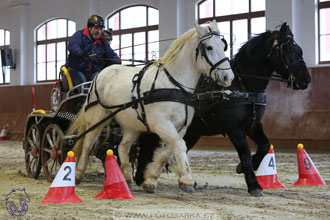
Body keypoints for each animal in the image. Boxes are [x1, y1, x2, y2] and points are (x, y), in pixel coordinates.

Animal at [69, 20, 235, 192]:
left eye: (223, 46)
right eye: (209, 47)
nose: (228, 77)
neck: (173, 84)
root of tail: (102, 73)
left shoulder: (180, 127)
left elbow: (167, 151)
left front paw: (151, 180)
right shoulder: (160, 123)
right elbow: (179, 145)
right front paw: (187, 180)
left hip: (132, 125)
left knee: (123, 147)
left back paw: (127, 178)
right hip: (97, 117)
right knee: (88, 143)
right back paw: (78, 174)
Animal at [134, 23, 312, 197]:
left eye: (300, 50)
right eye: (287, 50)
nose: (306, 79)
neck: (243, 86)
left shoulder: (253, 125)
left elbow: (265, 145)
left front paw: (244, 168)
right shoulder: (234, 128)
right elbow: (245, 152)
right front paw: (253, 184)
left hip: (192, 132)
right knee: (146, 145)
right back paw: (141, 178)